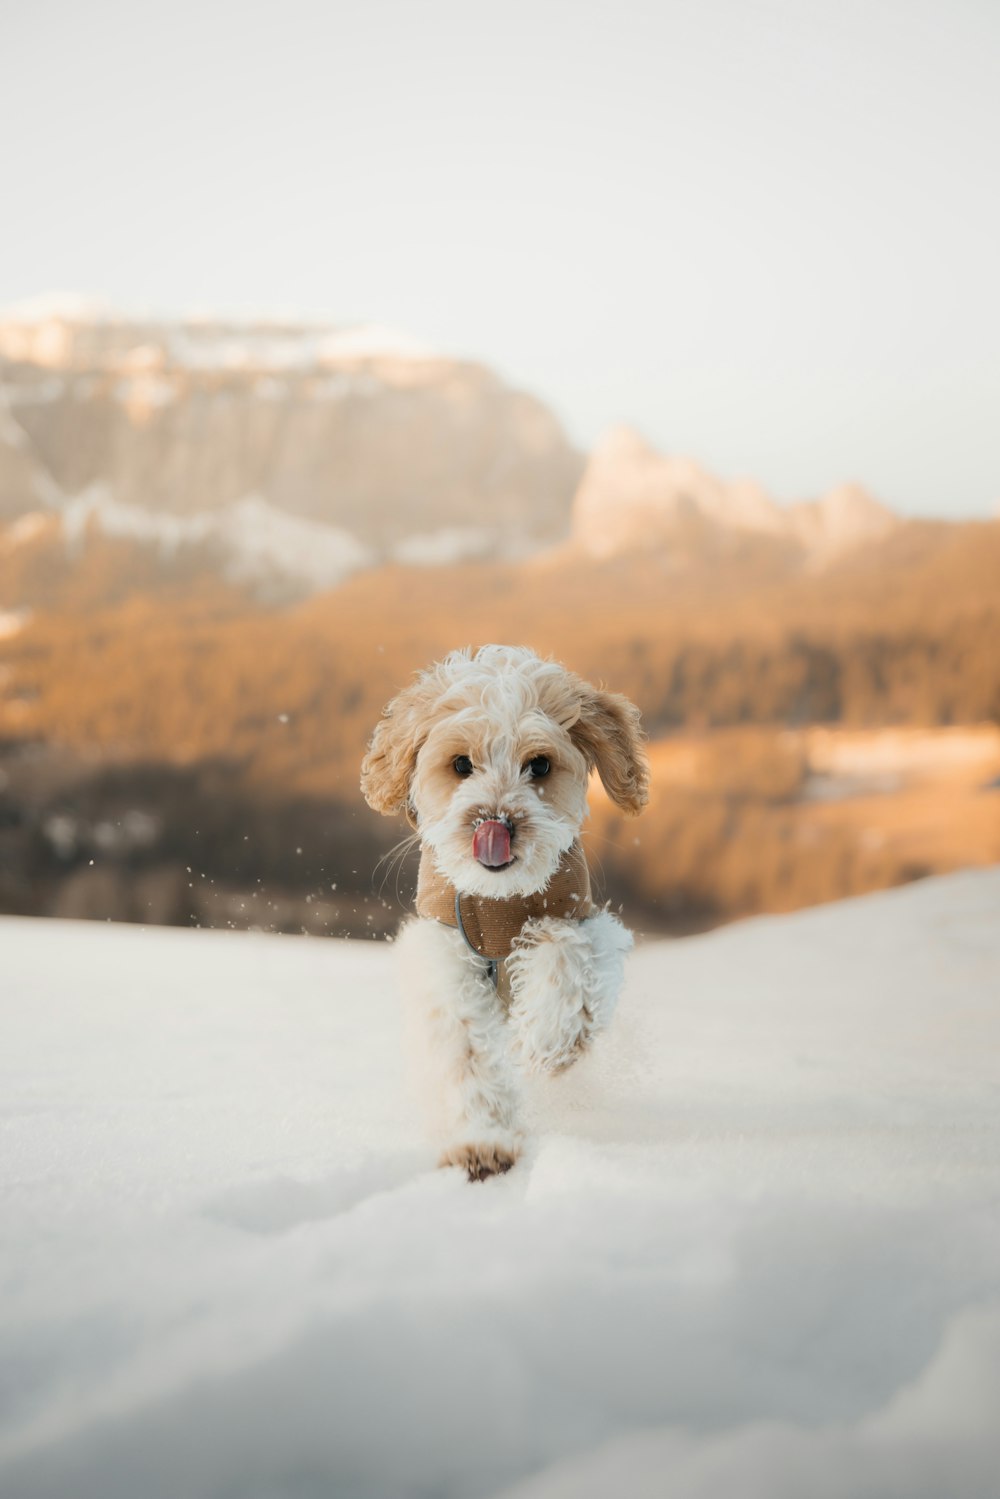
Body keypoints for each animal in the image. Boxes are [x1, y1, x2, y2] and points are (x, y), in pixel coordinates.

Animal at [361, 644, 650, 1181]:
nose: (494, 822)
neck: (499, 899)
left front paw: (548, 1039)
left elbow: (563, 952)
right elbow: (465, 1044)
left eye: (539, 765)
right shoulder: (443, 951)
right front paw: (481, 1140)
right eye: (460, 764)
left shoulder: (580, 918)